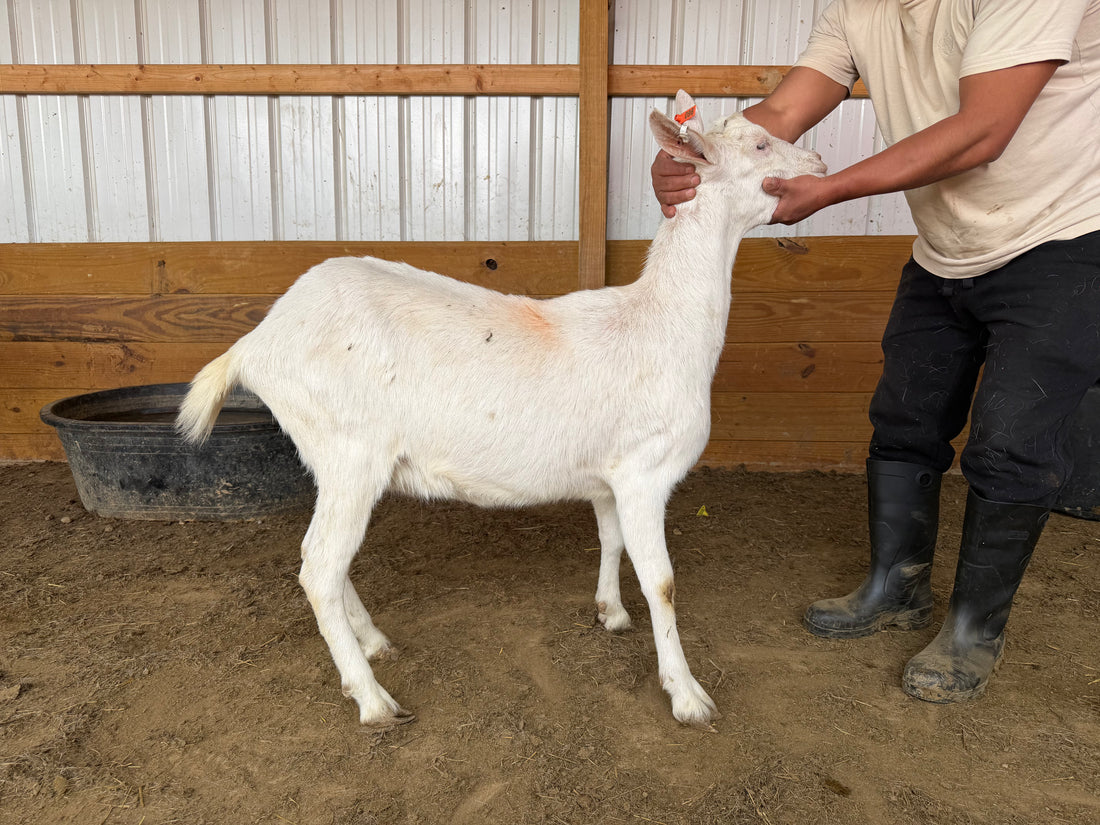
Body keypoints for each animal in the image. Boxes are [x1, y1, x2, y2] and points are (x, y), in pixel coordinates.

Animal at [177, 91, 827, 729]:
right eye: (761, 144)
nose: (819, 163)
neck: (660, 324)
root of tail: (255, 342)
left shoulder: (609, 475)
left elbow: (611, 539)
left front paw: (610, 612)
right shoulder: (645, 470)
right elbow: (662, 582)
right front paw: (687, 696)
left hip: (331, 459)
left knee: (328, 563)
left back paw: (373, 642)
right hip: (348, 449)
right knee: (318, 565)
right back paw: (372, 699)